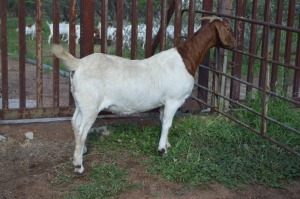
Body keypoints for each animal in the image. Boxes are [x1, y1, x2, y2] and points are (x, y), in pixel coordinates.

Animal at [52, 15, 237, 174]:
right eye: (228, 28)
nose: (234, 44)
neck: (186, 59)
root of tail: (79, 63)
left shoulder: (163, 102)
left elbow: (162, 120)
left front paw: (167, 144)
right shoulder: (174, 100)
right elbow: (168, 123)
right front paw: (162, 150)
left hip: (80, 103)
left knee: (75, 124)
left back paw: (81, 151)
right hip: (91, 104)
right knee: (82, 129)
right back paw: (78, 165)